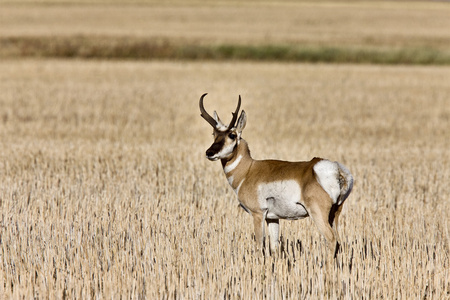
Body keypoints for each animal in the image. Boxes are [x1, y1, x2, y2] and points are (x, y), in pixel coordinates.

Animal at [199, 93, 354, 255]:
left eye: (232, 135)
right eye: (214, 134)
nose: (209, 152)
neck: (248, 170)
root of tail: (336, 168)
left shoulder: (258, 214)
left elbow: (259, 246)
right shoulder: (272, 218)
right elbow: (274, 247)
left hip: (318, 213)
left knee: (331, 240)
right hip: (335, 213)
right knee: (339, 241)